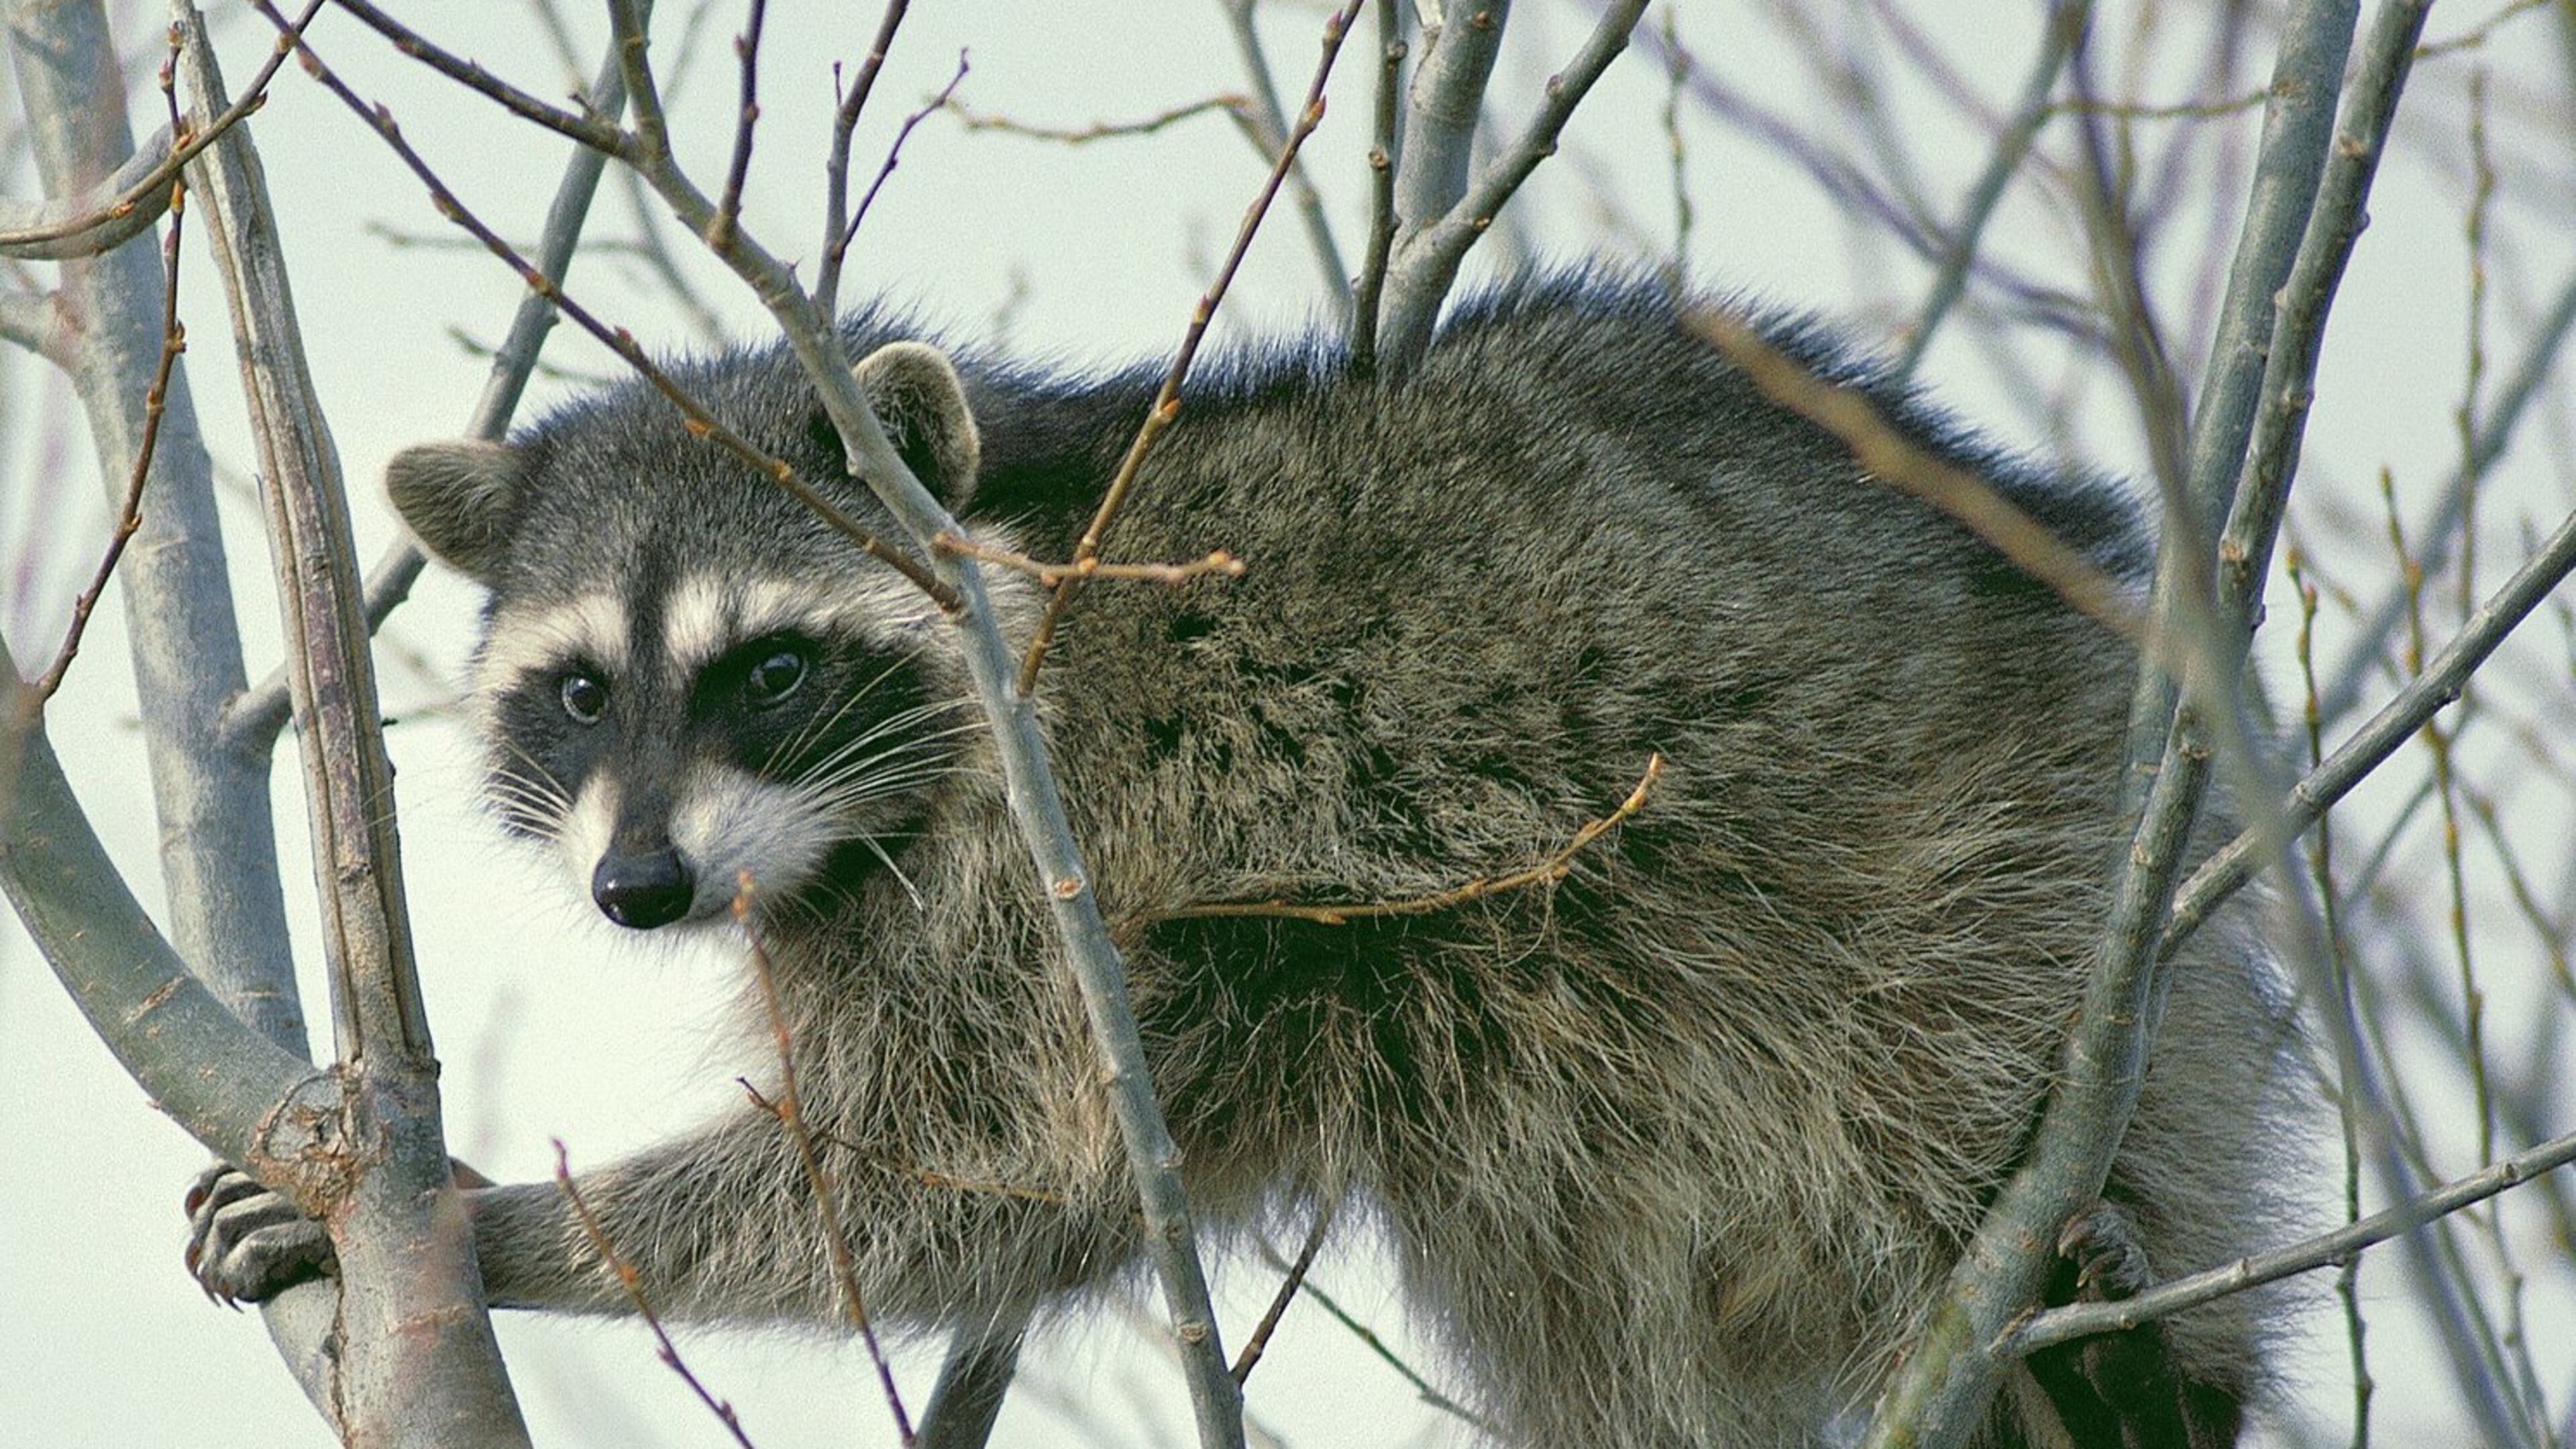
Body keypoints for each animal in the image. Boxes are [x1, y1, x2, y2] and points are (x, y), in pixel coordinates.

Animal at [188, 275, 2299, 1447]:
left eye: (766, 668)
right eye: (573, 693)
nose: (640, 889)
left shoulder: (1067, 852)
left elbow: (951, 1164)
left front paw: (503, 1222)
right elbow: (988, 1185)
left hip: (1989, 866)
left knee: (1958, 1044)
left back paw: (2139, 1361)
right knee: (1579, 1285)